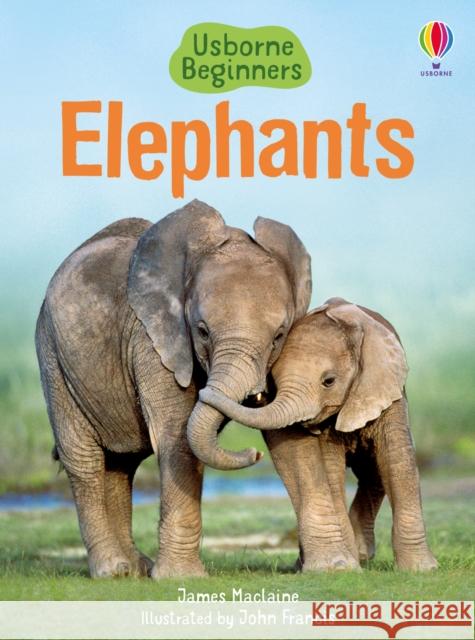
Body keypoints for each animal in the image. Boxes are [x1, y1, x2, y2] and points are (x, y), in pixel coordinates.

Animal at [35, 199, 312, 578]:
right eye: (202, 331)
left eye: (279, 336)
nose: (254, 454)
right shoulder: (152, 340)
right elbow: (177, 435)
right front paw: (182, 577)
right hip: (53, 355)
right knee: (84, 459)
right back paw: (114, 570)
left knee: (120, 464)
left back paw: (135, 569)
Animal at [200, 297, 438, 571]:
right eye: (274, 382)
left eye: (329, 381)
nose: (255, 454)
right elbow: (331, 470)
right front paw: (344, 567)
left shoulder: (387, 392)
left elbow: (397, 460)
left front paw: (423, 569)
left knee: (373, 471)